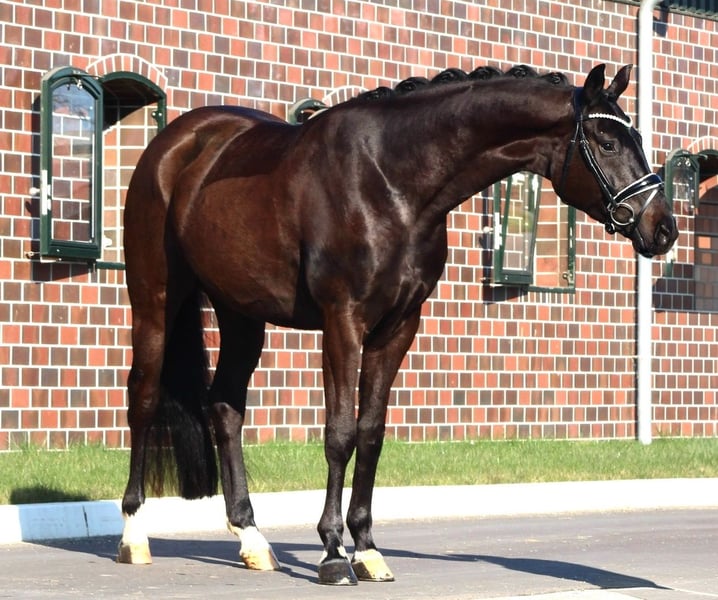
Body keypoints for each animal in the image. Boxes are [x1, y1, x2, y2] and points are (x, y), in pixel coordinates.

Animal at [118, 64, 678, 585]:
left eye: (637, 139)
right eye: (608, 141)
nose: (664, 229)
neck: (391, 182)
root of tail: (175, 143)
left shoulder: (399, 327)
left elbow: (371, 432)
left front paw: (366, 549)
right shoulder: (343, 321)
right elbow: (340, 433)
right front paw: (332, 553)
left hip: (241, 313)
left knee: (225, 407)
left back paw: (252, 540)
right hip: (155, 298)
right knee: (143, 397)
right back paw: (133, 536)